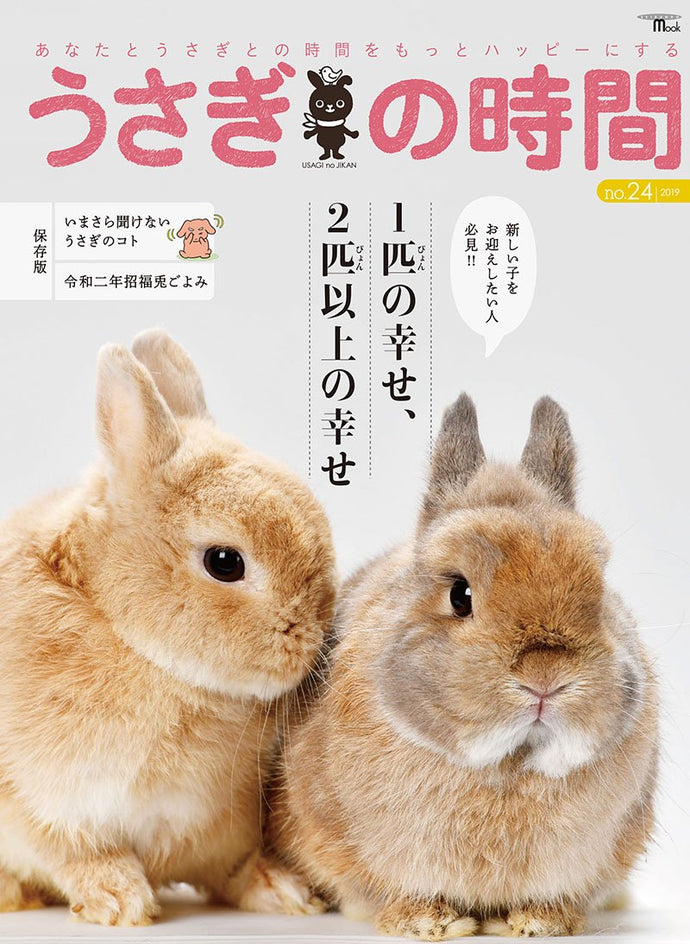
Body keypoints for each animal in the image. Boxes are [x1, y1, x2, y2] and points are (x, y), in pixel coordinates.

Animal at [0, 329, 336, 926]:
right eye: (225, 562)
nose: (314, 639)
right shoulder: (40, 808)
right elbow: (77, 855)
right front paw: (121, 902)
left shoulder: (219, 825)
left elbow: (233, 868)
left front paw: (286, 891)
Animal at [245, 394, 659, 939]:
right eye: (460, 594)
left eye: (600, 584)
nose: (545, 677)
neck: (507, 766)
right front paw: (426, 923)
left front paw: (539, 923)